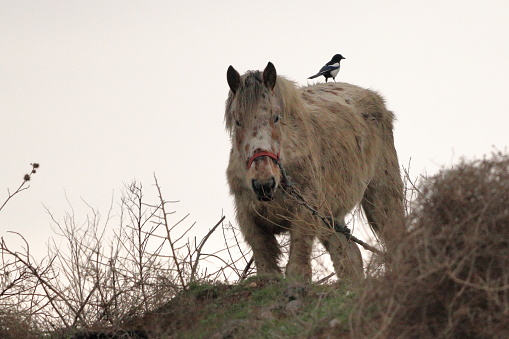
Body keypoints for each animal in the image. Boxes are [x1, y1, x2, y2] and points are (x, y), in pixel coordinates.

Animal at [224, 62, 402, 280]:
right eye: (237, 121)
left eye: (276, 117)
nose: (263, 184)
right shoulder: (251, 220)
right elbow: (267, 269)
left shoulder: (305, 212)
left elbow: (297, 267)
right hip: (332, 216)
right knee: (348, 255)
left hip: (382, 196)